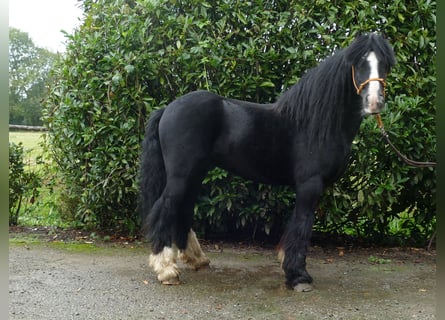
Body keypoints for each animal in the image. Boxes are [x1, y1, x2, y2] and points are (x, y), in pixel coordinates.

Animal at [140, 33, 394, 292]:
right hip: (181, 176)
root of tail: (167, 109)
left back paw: (195, 259)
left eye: (385, 64)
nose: (374, 101)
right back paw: (166, 270)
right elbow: (303, 225)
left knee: (183, 209)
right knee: (164, 208)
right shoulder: (310, 184)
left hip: (195, 172)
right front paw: (298, 276)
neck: (314, 122)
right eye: (360, 63)